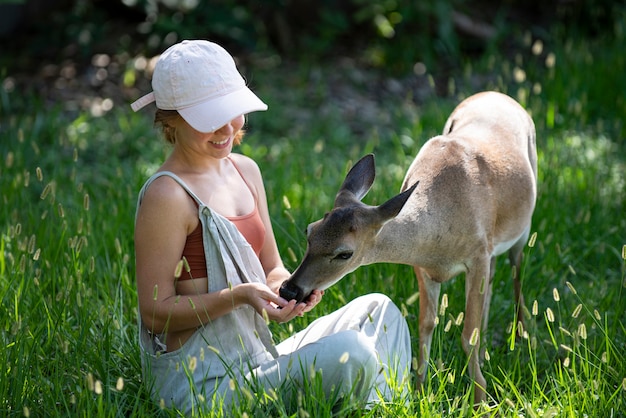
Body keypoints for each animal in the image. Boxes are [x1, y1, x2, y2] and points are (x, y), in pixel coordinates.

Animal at [278, 90, 536, 404]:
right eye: (310, 231)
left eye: (344, 253)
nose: (289, 289)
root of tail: (496, 94)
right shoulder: (423, 267)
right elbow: (426, 325)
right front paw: (421, 392)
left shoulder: (477, 255)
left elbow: (467, 335)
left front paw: (480, 399)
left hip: (522, 228)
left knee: (517, 271)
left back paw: (522, 337)